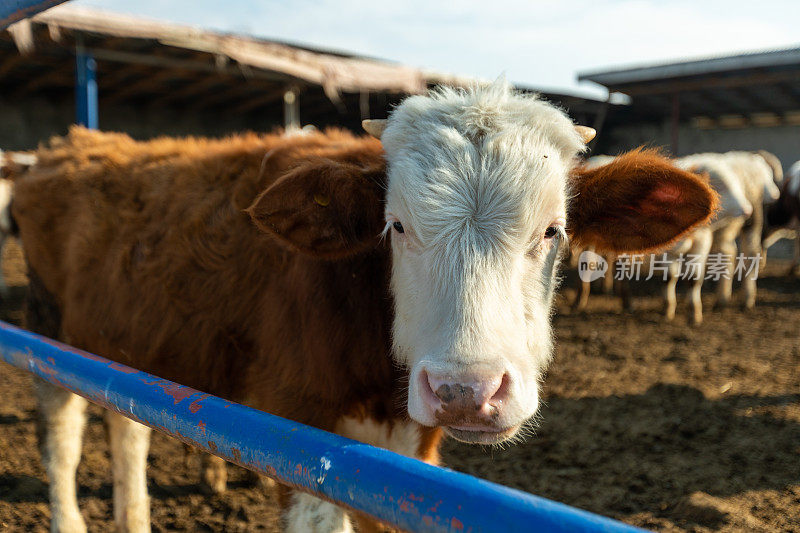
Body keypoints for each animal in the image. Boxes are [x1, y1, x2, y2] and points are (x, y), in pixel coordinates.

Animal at [12, 83, 716, 532]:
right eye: (395, 225)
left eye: (552, 230)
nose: (467, 390)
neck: (379, 387)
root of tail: (68, 144)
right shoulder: (293, 433)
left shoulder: (408, 457)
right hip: (48, 334)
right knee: (62, 438)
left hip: (123, 343)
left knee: (125, 425)